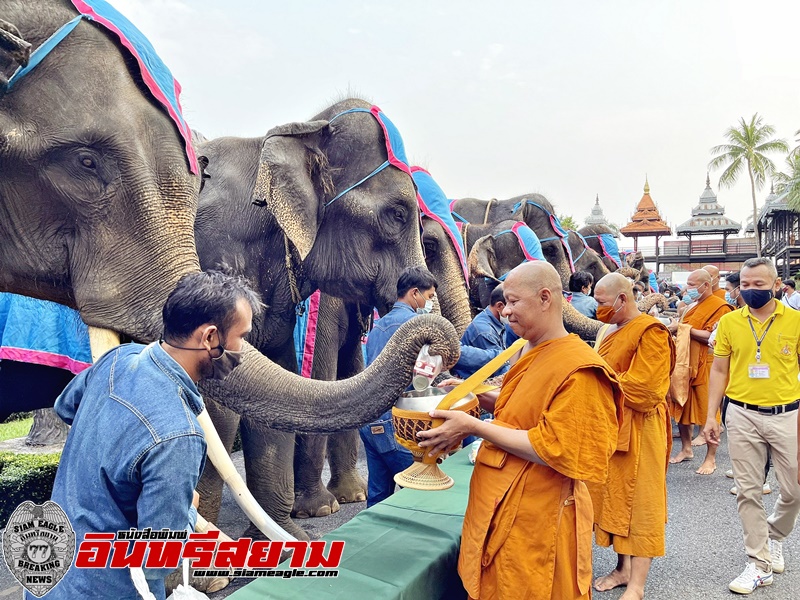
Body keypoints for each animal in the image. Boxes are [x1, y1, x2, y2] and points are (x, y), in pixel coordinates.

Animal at [0, 0, 460, 544]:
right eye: (396, 214)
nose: (433, 333)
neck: (286, 134)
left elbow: (276, 374)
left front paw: (291, 536)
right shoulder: (213, 246)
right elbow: (215, 401)